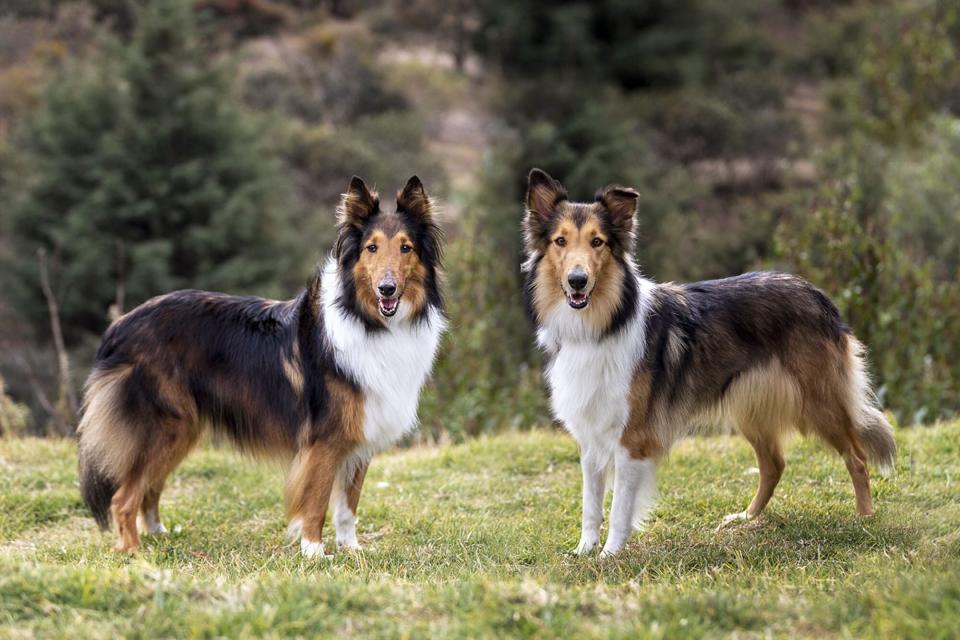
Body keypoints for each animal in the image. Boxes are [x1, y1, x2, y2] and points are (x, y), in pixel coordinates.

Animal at [79, 175, 446, 556]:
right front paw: (314, 552)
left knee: (150, 488)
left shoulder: (360, 434)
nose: (387, 289)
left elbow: (348, 505)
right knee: (123, 497)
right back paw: (135, 552)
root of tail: (119, 325)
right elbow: (317, 500)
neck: (367, 319)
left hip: (182, 428)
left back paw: (159, 534)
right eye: (371, 248)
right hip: (164, 425)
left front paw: (351, 549)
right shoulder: (325, 441)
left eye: (406, 248)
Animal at [520, 169, 896, 556]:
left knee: (857, 457)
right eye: (560, 241)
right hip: (752, 408)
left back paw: (864, 518)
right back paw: (745, 518)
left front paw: (610, 555)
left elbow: (620, 505)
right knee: (774, 464)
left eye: (597, 242)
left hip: (819, 403)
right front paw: (584, 550)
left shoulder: (632, 438)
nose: (577, 281)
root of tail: (819, 295)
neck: (601, 325)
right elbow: (591, 503)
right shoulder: (591, 435)